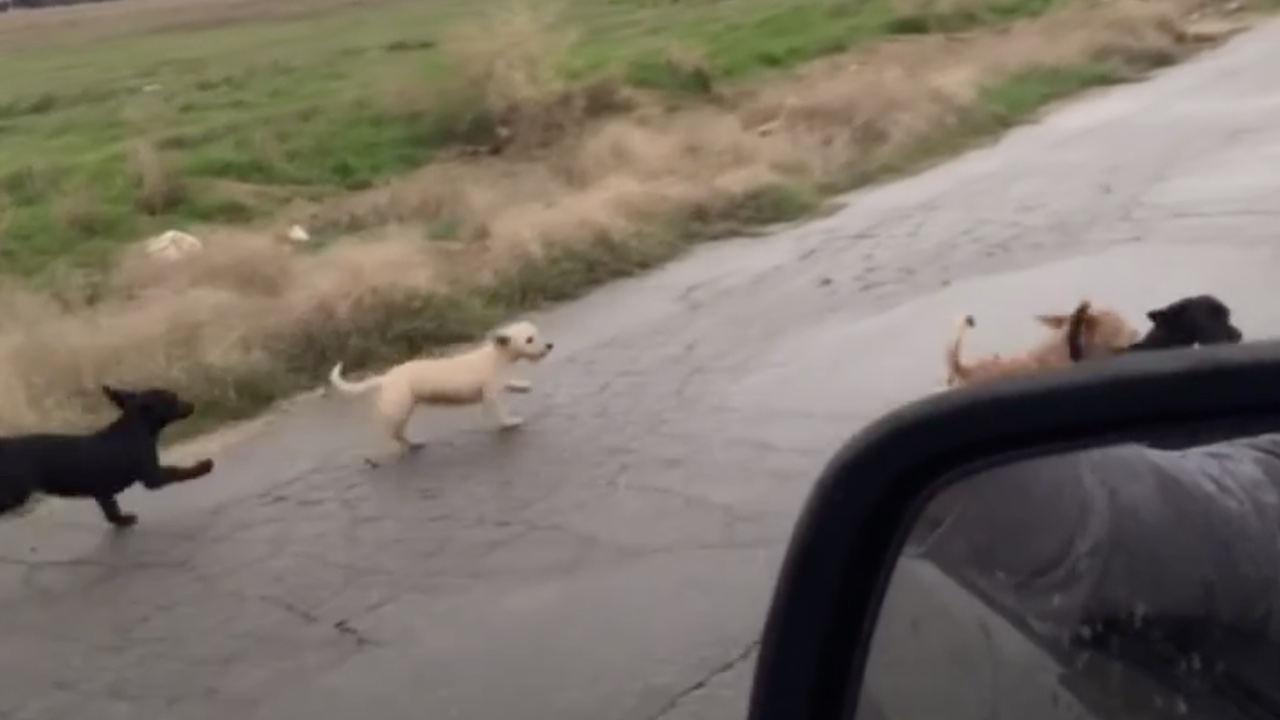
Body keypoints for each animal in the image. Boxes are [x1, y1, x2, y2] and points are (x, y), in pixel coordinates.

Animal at [0, 384, 213, 525]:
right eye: (173, 398)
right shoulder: (153, 476)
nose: (192, 404)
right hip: (15, 493)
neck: (135, 428)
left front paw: (122, 520)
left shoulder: (102, 491)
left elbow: (111, 509)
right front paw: (203, 467)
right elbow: (178, 471)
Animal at [327, 317, 552, 461]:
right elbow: (501, 411)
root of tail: (385, 378)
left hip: (406, 407)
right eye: (529, 339)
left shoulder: (497, 383)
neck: (496, 356)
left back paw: (415, 443)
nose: (550, 345)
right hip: (399, 408)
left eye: (537, 334)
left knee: (400, 432)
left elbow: (509, 383)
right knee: (393, 432)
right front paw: (510, 422)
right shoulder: (490, 394)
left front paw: (523, 386)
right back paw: (402, 446)